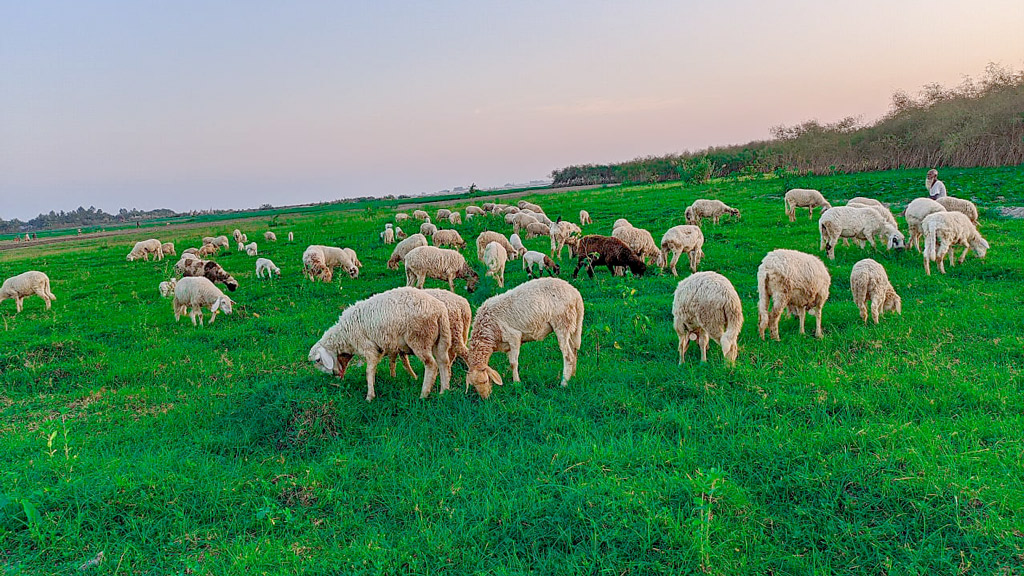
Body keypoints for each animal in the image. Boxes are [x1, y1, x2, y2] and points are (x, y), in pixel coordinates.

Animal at [307, 284, 452, 401]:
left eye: (318, 360)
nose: (334, 375)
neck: (345, 335)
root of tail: (439, 311)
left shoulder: (368, 346)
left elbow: (369, 371)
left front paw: (369, 396)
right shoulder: (380, 348)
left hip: (420, 338)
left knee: (431, 365)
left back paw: (424, 394)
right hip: (441, 340)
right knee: (444, 362)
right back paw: (444, 392)